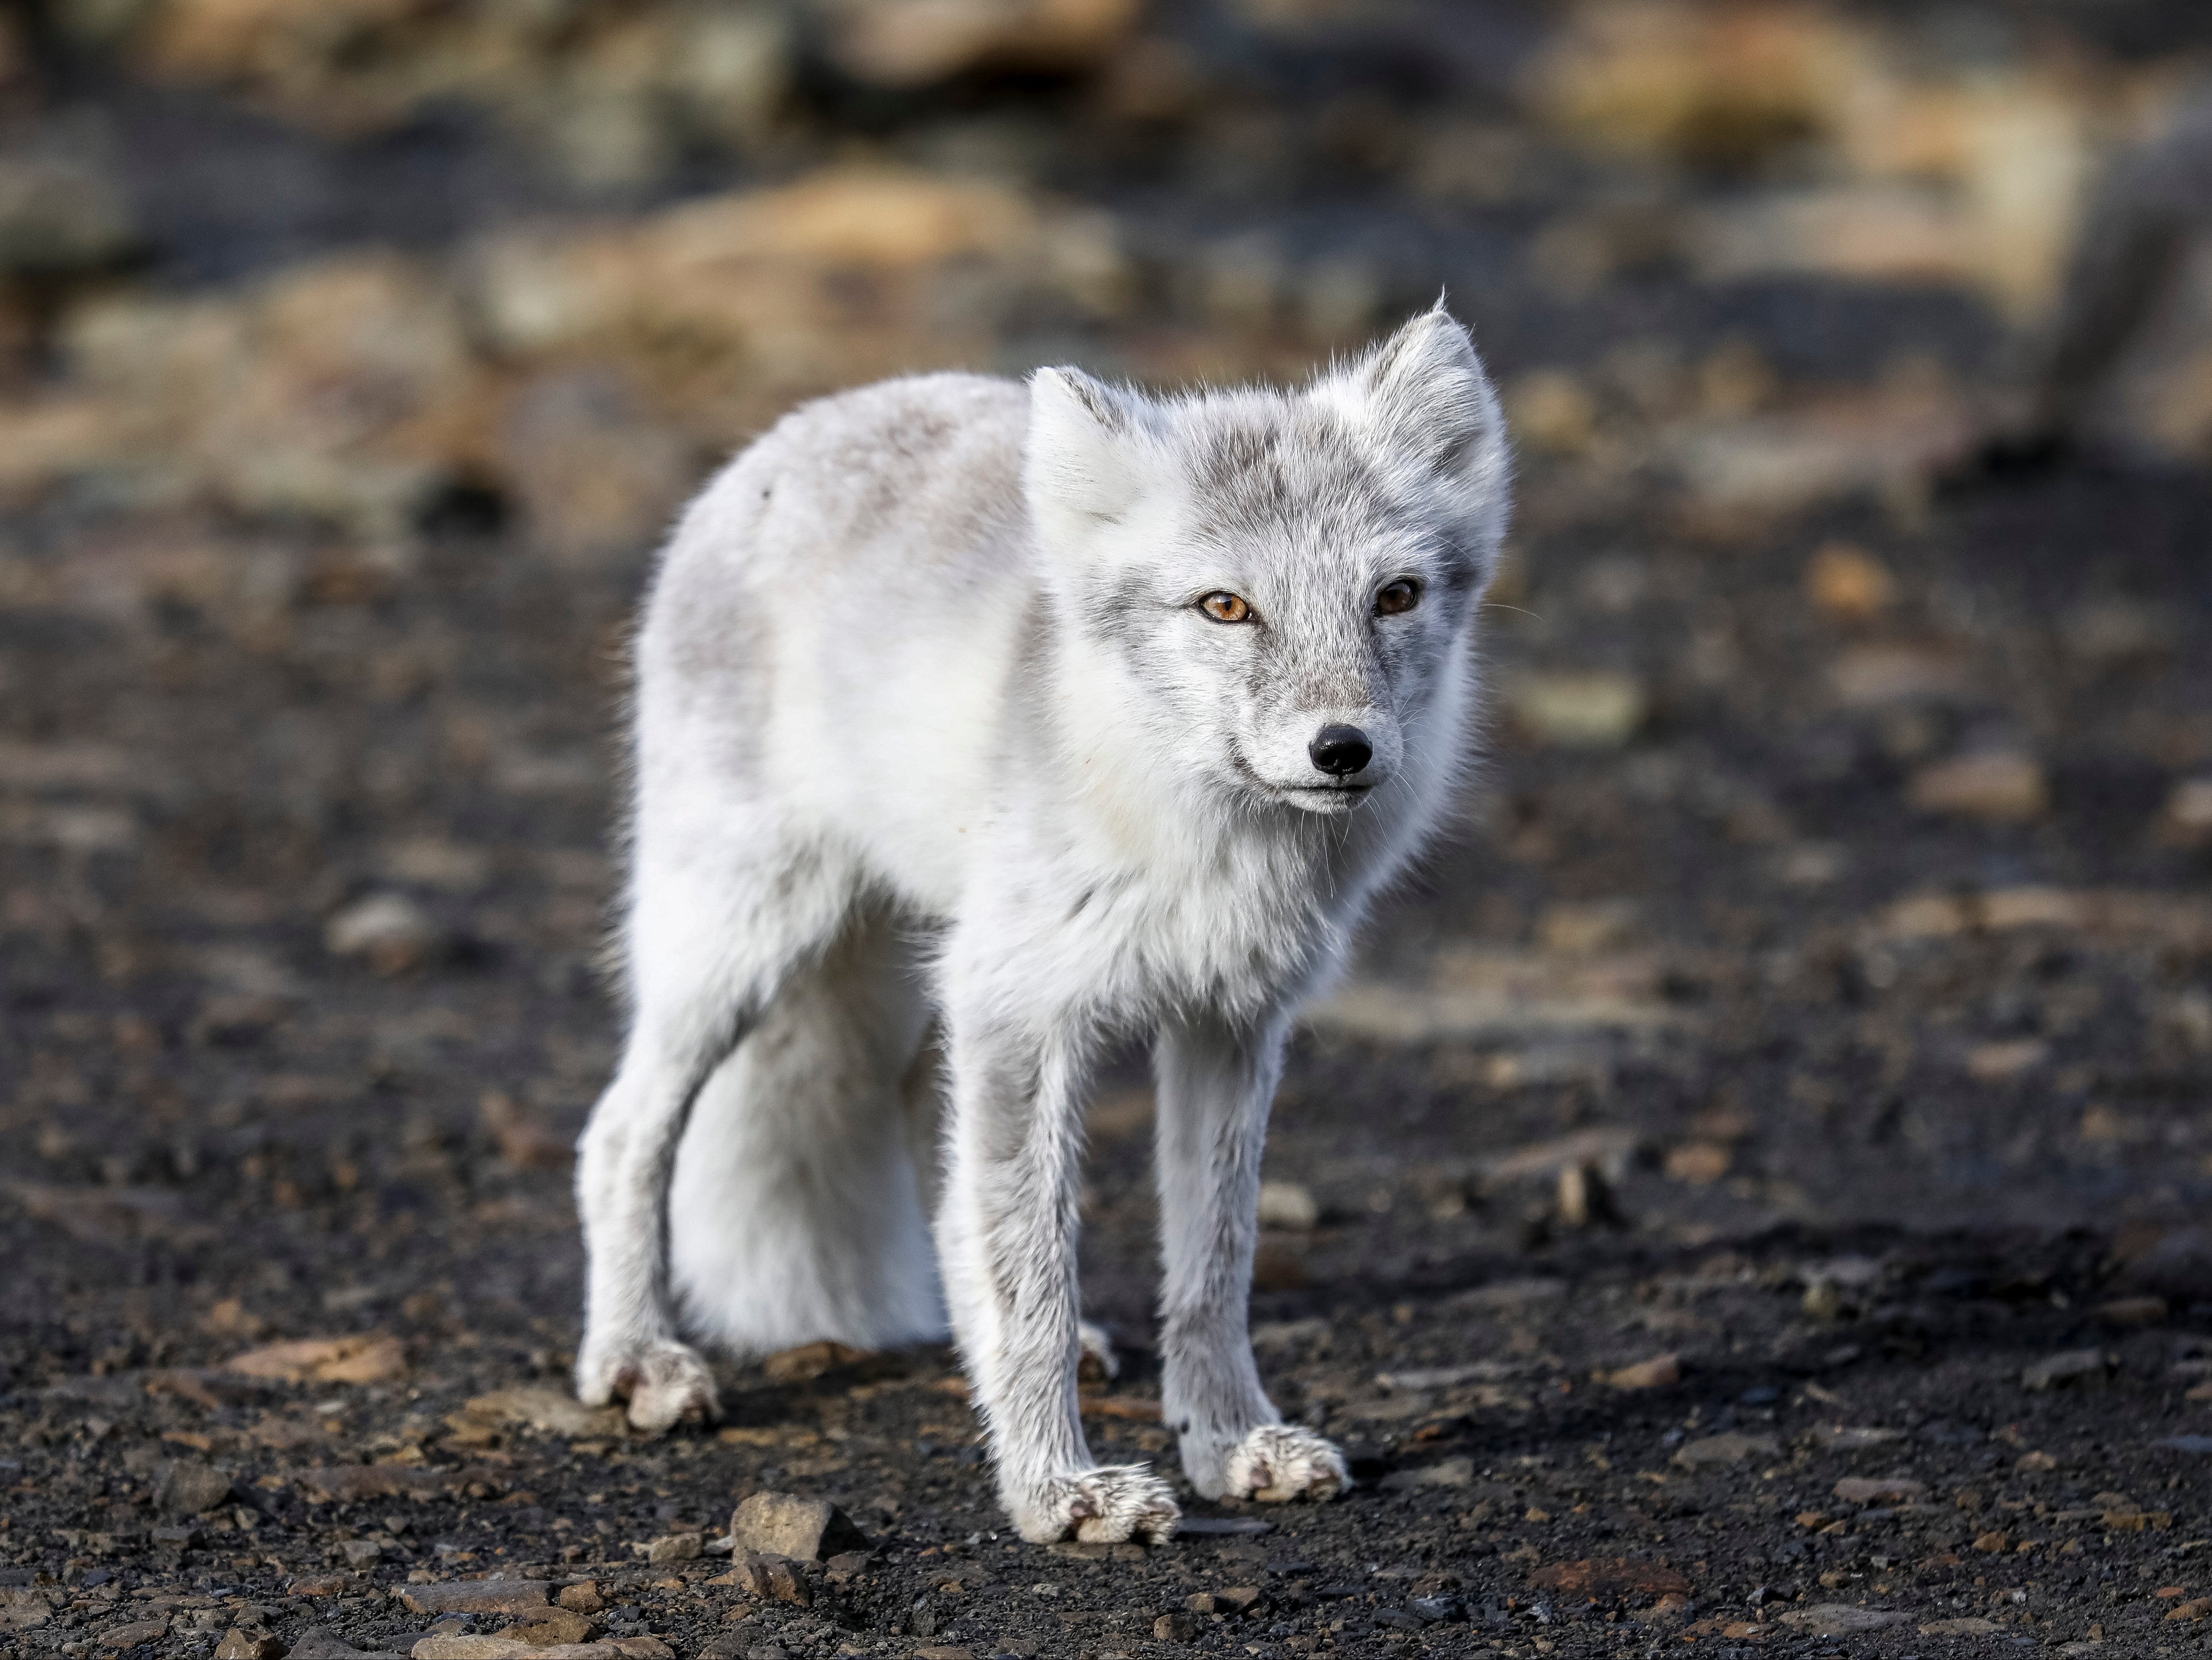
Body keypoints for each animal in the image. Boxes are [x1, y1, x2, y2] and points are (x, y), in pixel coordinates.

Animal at [571, 303, 1513, 1549]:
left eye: (1393, 596)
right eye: (1225, 607)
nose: (1342, 749)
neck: (1206, 844)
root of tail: (796, 431)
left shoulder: (1230, 1020)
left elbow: (1211, 1264)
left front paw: (1229, 1444)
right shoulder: (1023, 1012)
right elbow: (1032, 1271)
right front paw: (1055, 1490)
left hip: (921, 977)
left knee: (940, 1189)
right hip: (742, 941)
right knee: (621, 1134)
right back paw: (635, 1357)